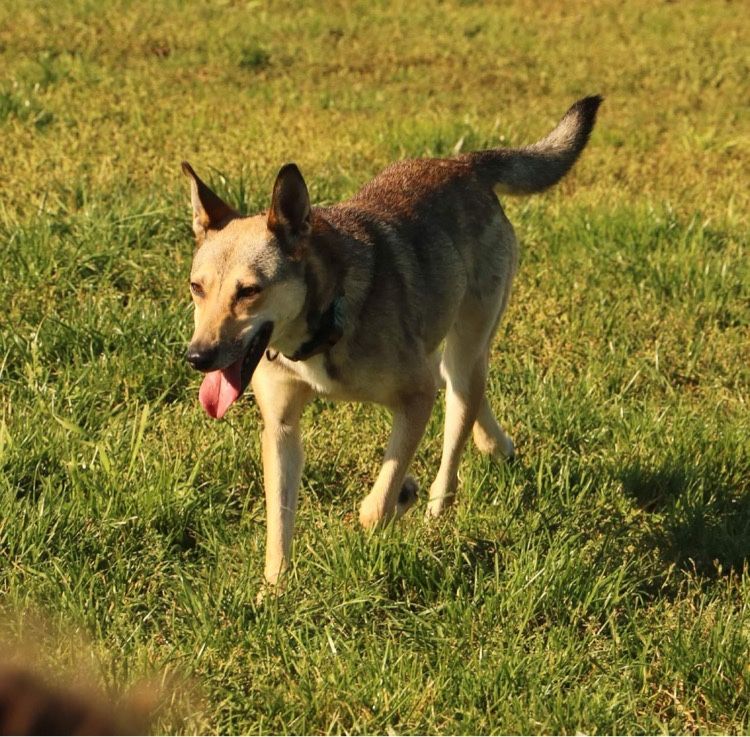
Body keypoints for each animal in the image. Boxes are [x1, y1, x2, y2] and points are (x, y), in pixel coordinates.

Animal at [184, 95, 604, 584]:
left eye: (249, 291)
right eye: (197, 287)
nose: (197, 357)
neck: (326, 317)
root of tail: (464, 163)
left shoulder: (415, 395)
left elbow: (377, 506)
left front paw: (399, 494)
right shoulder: (281, 427)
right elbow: (279, 520)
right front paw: (273, 589)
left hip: (466, 347)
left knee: (455, 429)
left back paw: (439, 503)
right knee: (461, 390)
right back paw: (494, 444)